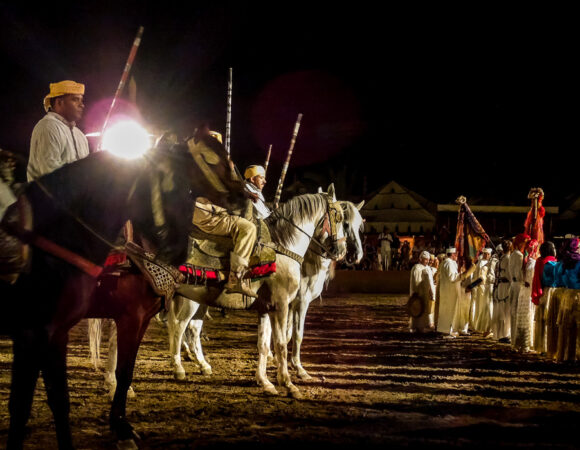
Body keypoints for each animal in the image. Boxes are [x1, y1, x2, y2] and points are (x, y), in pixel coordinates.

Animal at [0, 130, 245, 450]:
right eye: (210, 158)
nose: (244, 195)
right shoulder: (120, 318)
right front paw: (121, 427)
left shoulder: (129, 320)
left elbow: (120, 372)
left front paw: (122, 423)